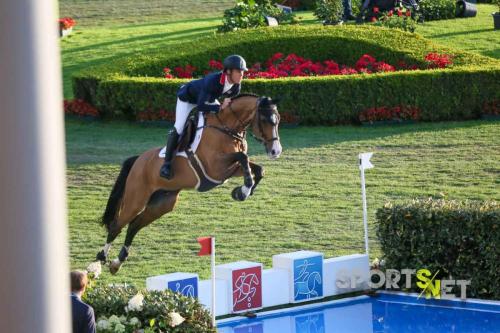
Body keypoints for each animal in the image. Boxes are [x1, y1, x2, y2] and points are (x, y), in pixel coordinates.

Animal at [93, 93, 282, 272]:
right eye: (265, 120)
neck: (226, 129)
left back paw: (117, 263)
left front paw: (241, 192)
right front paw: (243, 190)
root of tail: (138, 160)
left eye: (278, 119)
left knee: (134, 226)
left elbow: (257, 169)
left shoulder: (229, 169)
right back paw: (99, 260)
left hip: (162, 204)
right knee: (117, 226)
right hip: (136, 199)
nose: (275, 151)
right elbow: (243, 157)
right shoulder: (216, 168)